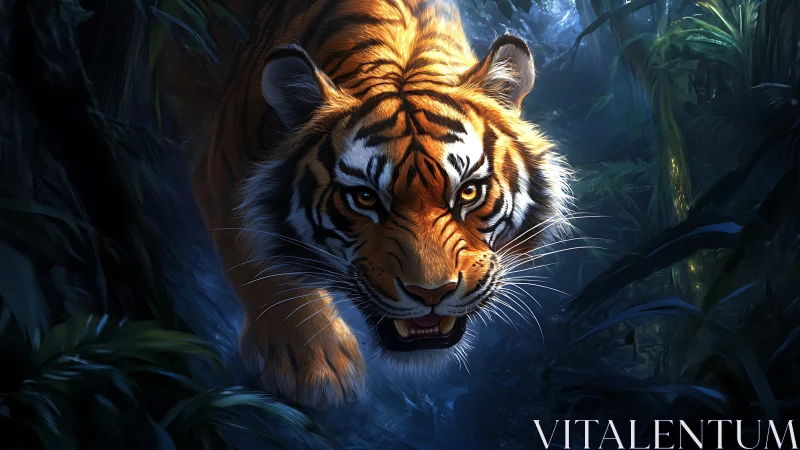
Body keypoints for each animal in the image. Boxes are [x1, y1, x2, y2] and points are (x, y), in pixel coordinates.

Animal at [171, 0, 571, 408]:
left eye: (469, 192)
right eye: (365, 197)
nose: (432, 294)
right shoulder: (226, 170)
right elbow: (262, 263)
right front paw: (313, 366)